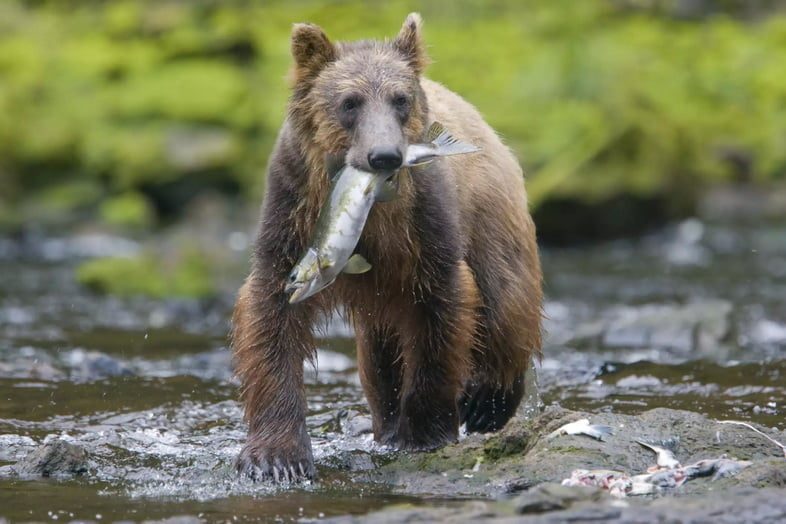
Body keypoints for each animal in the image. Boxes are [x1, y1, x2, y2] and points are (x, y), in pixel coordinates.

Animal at [230, 12, 544, 484]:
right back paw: (389, 421)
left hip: (490, 217)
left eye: (400, 99)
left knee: (504, 295)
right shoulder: (292, 213)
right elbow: (271, 322)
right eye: (350, 102)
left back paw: (487, 401)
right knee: (380, 357)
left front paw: (424, 431)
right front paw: (276, 457)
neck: (375, 210)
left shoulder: (425, 227)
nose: (384, 156)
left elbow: (442, 313)